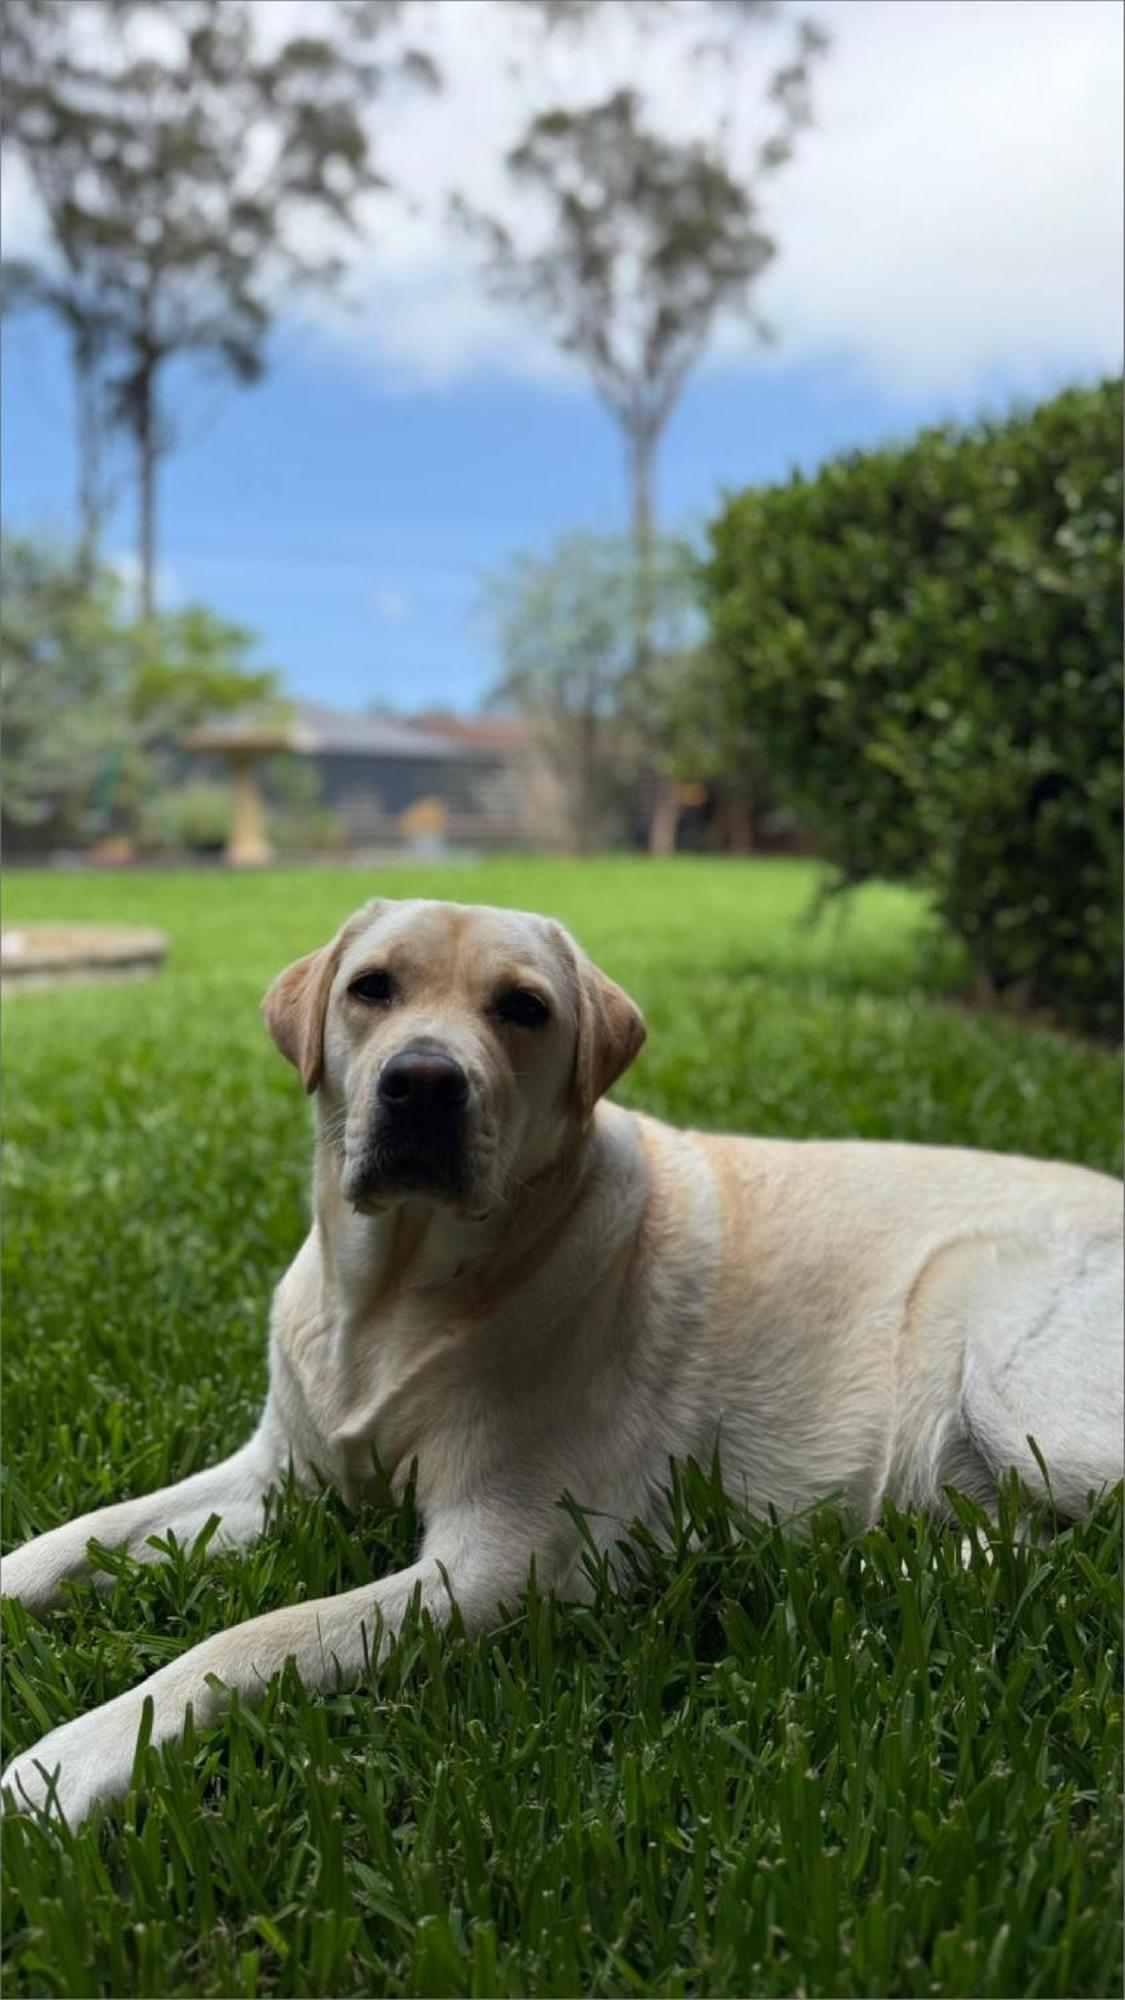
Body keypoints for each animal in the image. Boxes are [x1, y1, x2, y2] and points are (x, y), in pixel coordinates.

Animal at [4, 900, 1112, 1824]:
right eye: (371, 987)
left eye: (523, 1008)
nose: (422, 1083)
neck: (393, 1301)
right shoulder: (281, 1475)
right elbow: (88, 1531)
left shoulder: (502, 1559)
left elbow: (255, 1637)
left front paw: (70, 1761)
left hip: (998, 1346)